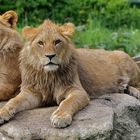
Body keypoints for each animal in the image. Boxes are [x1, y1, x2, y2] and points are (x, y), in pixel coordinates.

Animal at [0, 19, 140, 128]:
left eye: (57, 42)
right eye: (40, 43)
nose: (50, 56)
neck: (48, 75)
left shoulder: (78, 91)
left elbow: (67, 102)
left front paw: (60, 117)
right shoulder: (31, 92)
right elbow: (14, 100)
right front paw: (3, 112)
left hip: (126, 61)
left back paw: (134, 91)